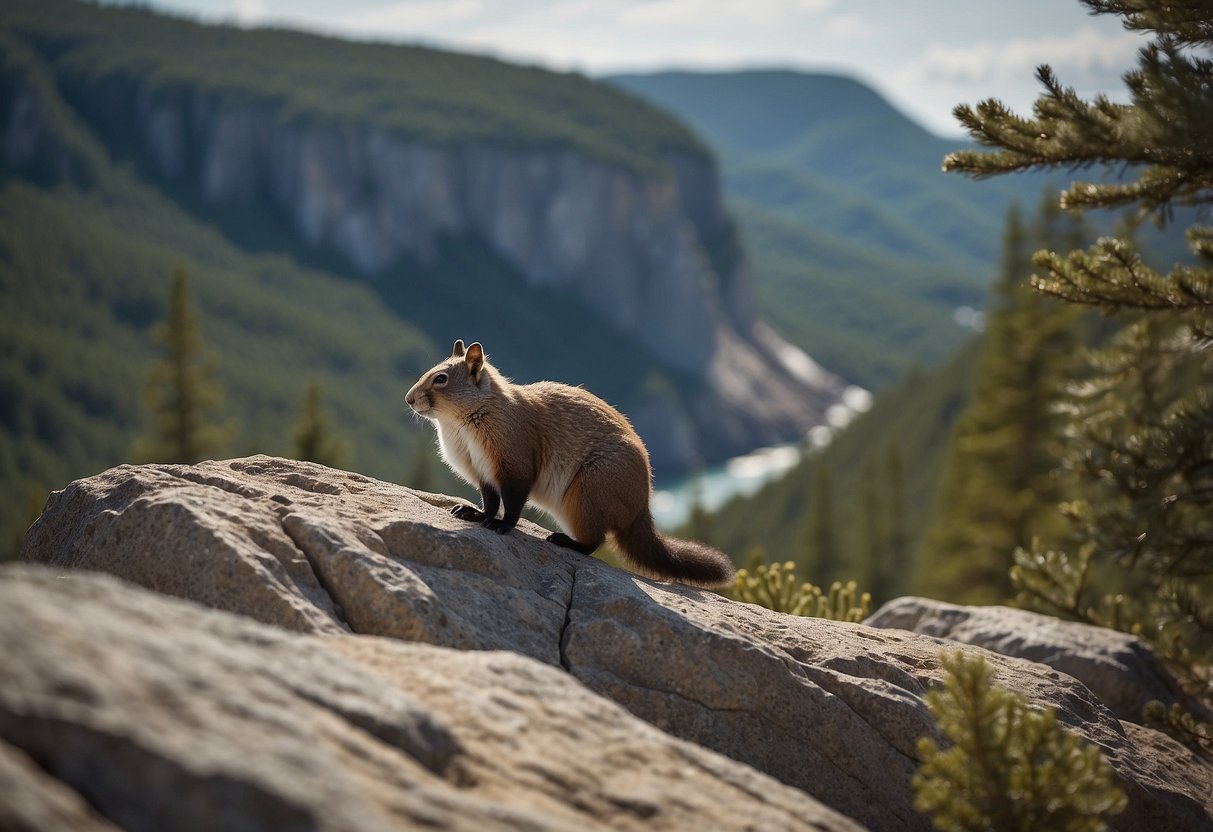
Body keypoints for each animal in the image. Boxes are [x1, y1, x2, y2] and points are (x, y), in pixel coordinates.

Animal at [402, 342, 732, 589]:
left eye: (441, 378)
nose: (408, 399)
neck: (462, 425)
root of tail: (640, 510)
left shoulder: (515, 467)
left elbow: (512, 505)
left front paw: (500, 526)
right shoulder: (483, 474)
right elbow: (490, 501)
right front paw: (471, 513)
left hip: (586, 495)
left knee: (596, 541)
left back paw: (563, 541)